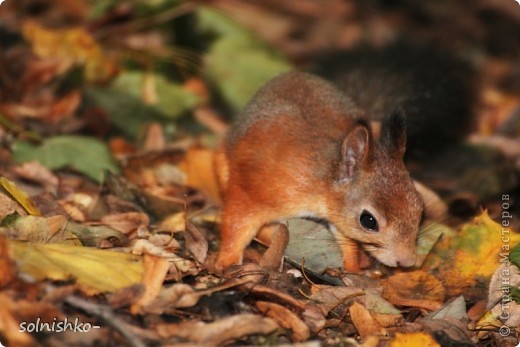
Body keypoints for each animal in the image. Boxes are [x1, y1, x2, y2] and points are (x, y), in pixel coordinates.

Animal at [213, 71, 424, 272]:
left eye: (420, 207)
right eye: (368, 221)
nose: (407, 261)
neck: (322, 183)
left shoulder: (337, 214)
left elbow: (345, 238)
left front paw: (353, 265)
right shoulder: (259, 189)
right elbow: (238, 222)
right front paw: (227, 260)